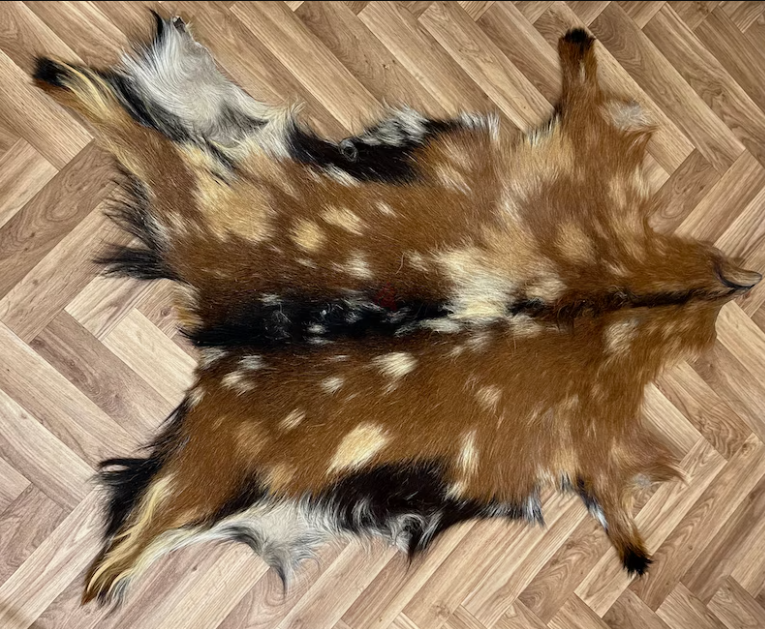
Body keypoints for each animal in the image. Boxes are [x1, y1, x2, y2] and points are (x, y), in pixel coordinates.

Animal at [33, 13, 760, 605]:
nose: (737, 283)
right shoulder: (580, 157)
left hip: (219, 257)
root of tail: (227, 338)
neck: (615, 299)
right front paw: (579, 46)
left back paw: (66, 84)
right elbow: (584, 99)